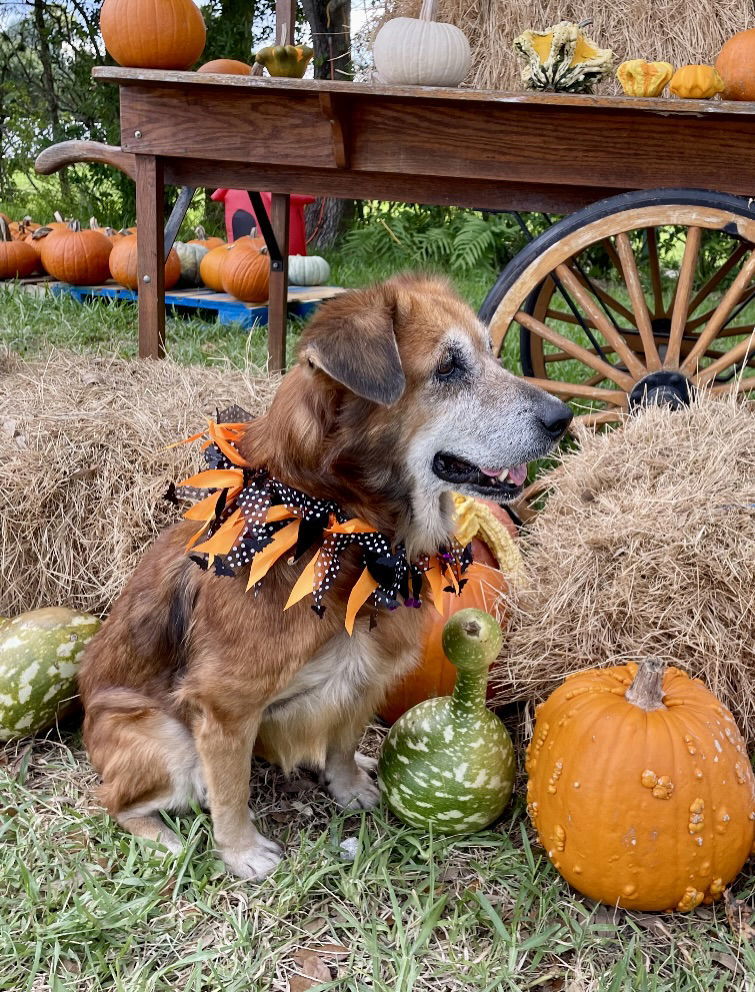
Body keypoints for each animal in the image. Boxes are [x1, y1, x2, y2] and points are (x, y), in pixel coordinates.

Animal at [78, 276, 572, 880]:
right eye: (448, 368)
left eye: (490, 353)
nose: (564, 417)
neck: (338, 525)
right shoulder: (223, 708)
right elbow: (231, 788)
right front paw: (241, 850)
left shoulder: (368, 671)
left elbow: (340, 738)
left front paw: (348, 782)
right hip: (167, 740)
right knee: (114, 800)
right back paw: (164, 840)